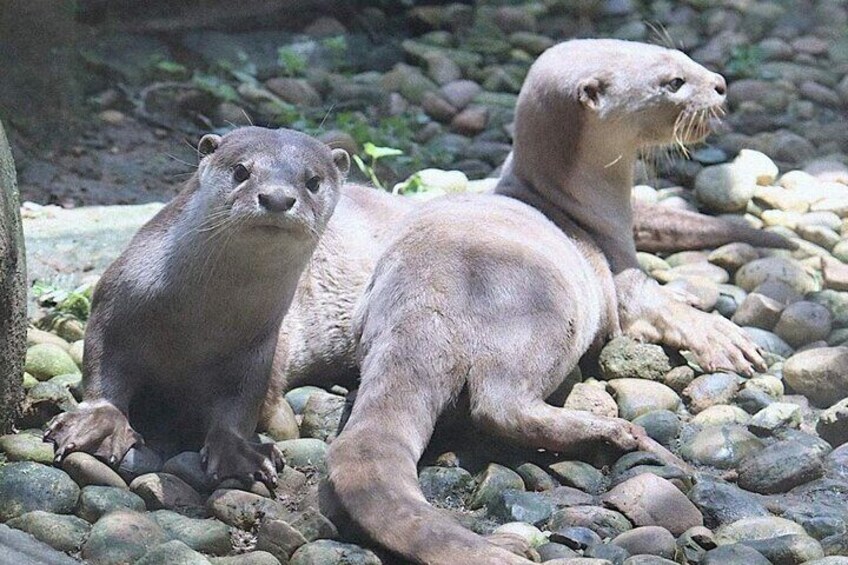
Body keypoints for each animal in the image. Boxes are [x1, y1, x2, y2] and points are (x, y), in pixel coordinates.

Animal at [44, 127, 350, 487]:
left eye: (313, 181)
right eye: (241, 171)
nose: (277, 198)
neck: (197, 325)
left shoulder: (258, 349)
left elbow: (240, 403)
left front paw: (240, 451)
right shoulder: (112, 306)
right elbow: (101, 366)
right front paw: (99, 423)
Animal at [325, 39, 764, 564]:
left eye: (679, 55)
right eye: (672, 82)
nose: (719, 84)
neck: (582, 206)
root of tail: (423, 309)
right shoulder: (621, 272)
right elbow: (658, 309)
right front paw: (725, 337)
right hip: (540, 314)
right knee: (499, 405)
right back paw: (616, 434)